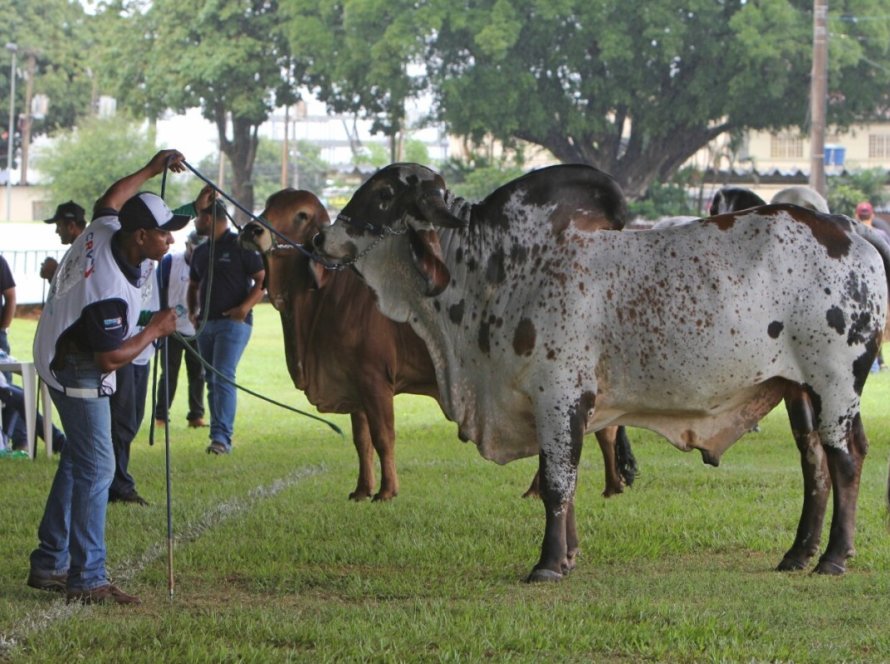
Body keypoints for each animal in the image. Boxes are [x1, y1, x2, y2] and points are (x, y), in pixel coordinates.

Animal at [314, 163, 888, 584]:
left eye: (382, 193)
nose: (321, 238)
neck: (497, 267)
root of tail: (850, 230)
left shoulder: (558, 396)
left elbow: (555, 483)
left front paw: (548, 565)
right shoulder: (555, 405)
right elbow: (564, 481)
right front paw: (568, 556)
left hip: (836, 383)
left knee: (845, 460)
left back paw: (834, 558)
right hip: (799, 391)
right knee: (814, 462)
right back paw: (798, 554)